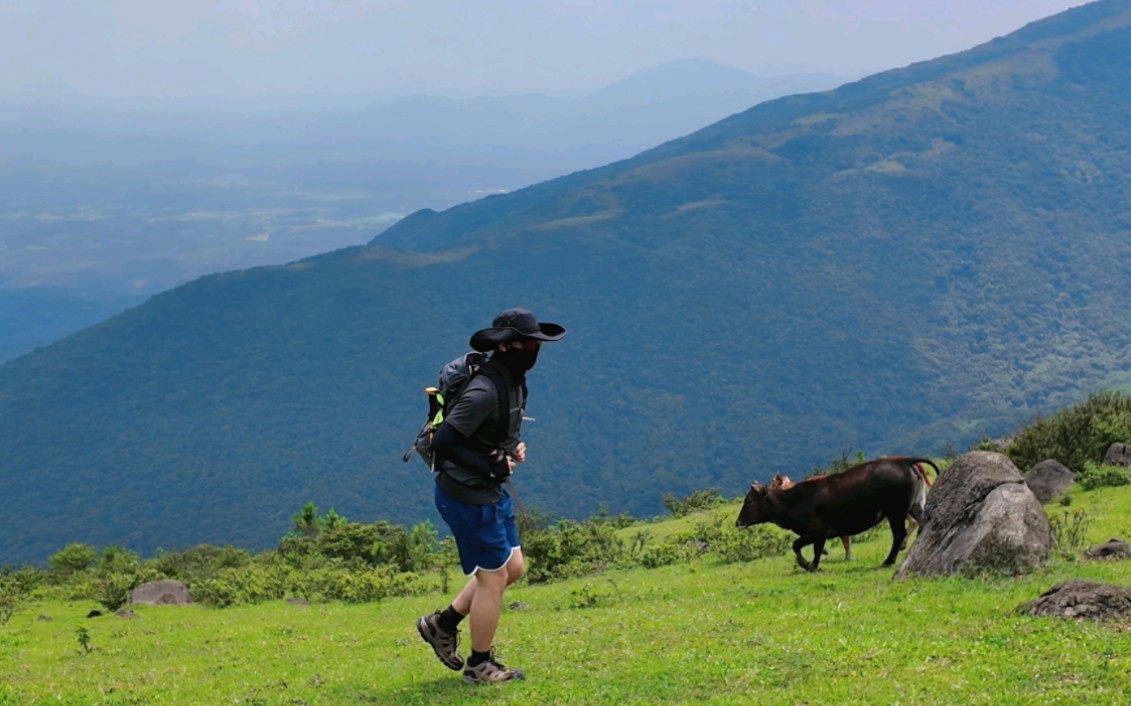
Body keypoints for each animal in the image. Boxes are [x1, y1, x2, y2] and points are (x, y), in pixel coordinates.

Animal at [732, 454, 936, 570]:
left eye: (749, 501)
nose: (738, 522)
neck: (793, 500)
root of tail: (905, 461)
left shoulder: (817, 531)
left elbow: (800, 546)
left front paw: (809, 565)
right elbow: (806, 547)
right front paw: (811, 563)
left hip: (895, 511)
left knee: (899, 534)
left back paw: (888, 561)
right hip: (914, 506)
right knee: (922, 523)